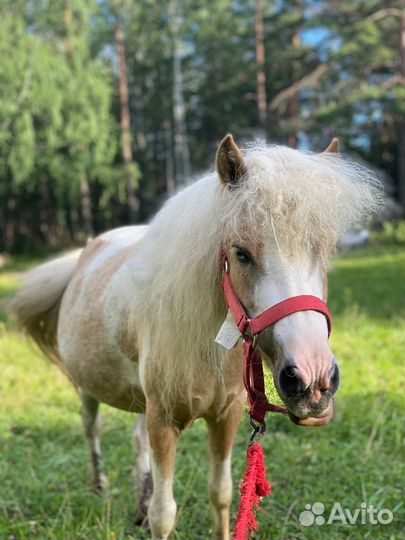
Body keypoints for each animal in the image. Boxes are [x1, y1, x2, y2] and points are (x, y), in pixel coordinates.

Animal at [13, 136, 378, 540]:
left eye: (325, 252)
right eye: (241, 253)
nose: (313, 381)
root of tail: (84, 253)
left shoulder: (225, 417)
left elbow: (220, 494)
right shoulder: (163, 420)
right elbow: (164, 513)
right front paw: (150, 511)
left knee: (136, 440)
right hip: (88, 387)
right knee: (91, 427)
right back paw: (100, 487)